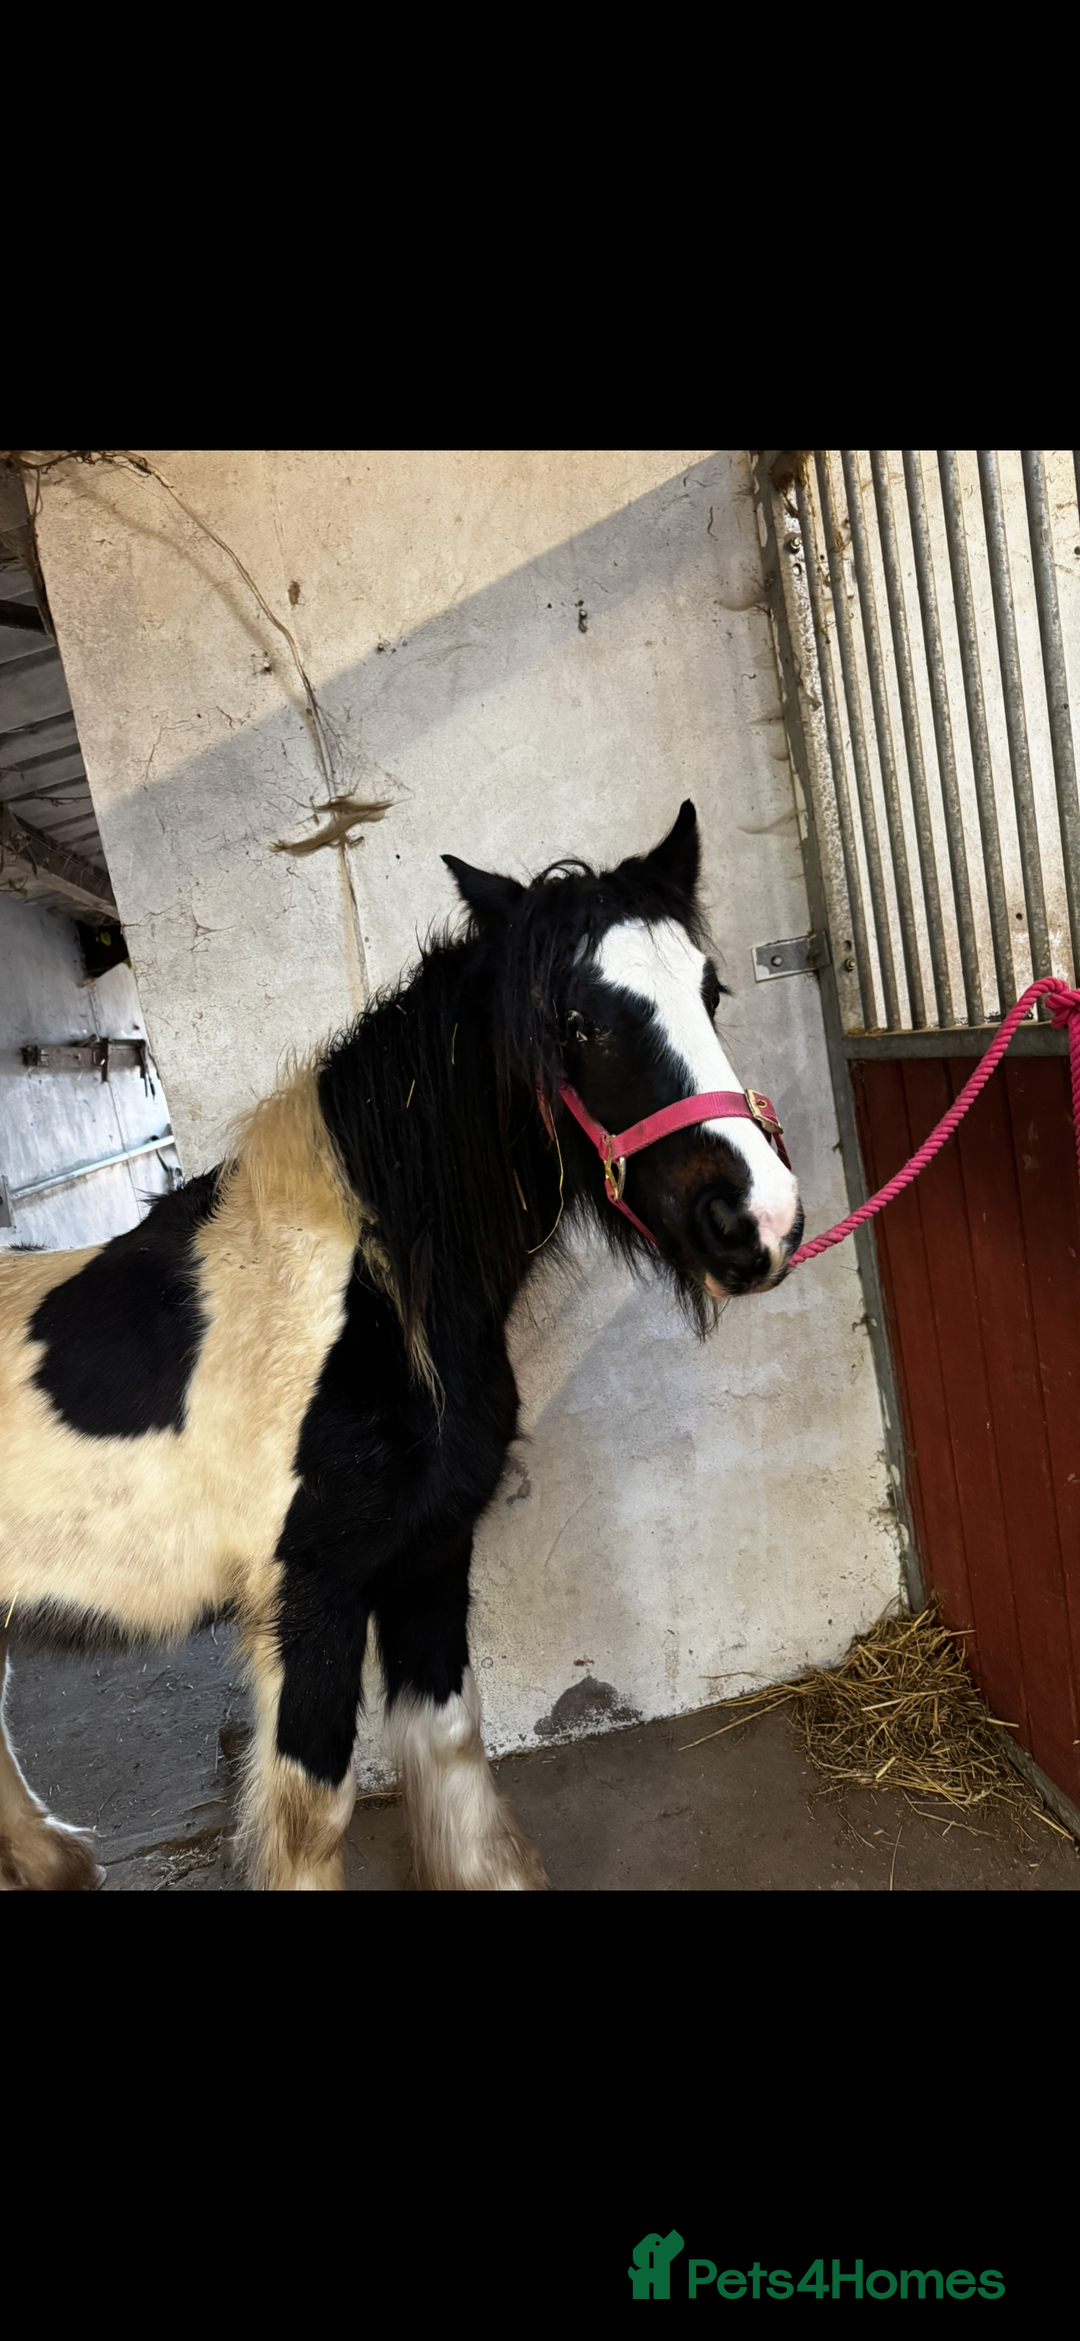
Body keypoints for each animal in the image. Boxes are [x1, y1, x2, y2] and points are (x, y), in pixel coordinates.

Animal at [0, 800, 803, 1891]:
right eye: (574, 1024)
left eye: (709, 991)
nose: (756, 1220)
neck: (368, 1299)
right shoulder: (314, 1599)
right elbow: (314, 1817)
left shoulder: (430, 1555)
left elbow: (453, 1747)